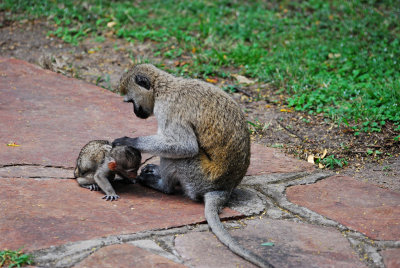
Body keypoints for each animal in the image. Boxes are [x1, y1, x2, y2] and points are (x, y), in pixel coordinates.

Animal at [114, 63, 274, 266]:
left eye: (130, 101)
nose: (135, 112)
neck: (163, 89)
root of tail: (223, 189)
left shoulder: (169, 111)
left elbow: (185, 146)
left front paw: (129, 141)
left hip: (197, 176)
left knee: (179, 157)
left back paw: (163, 186)